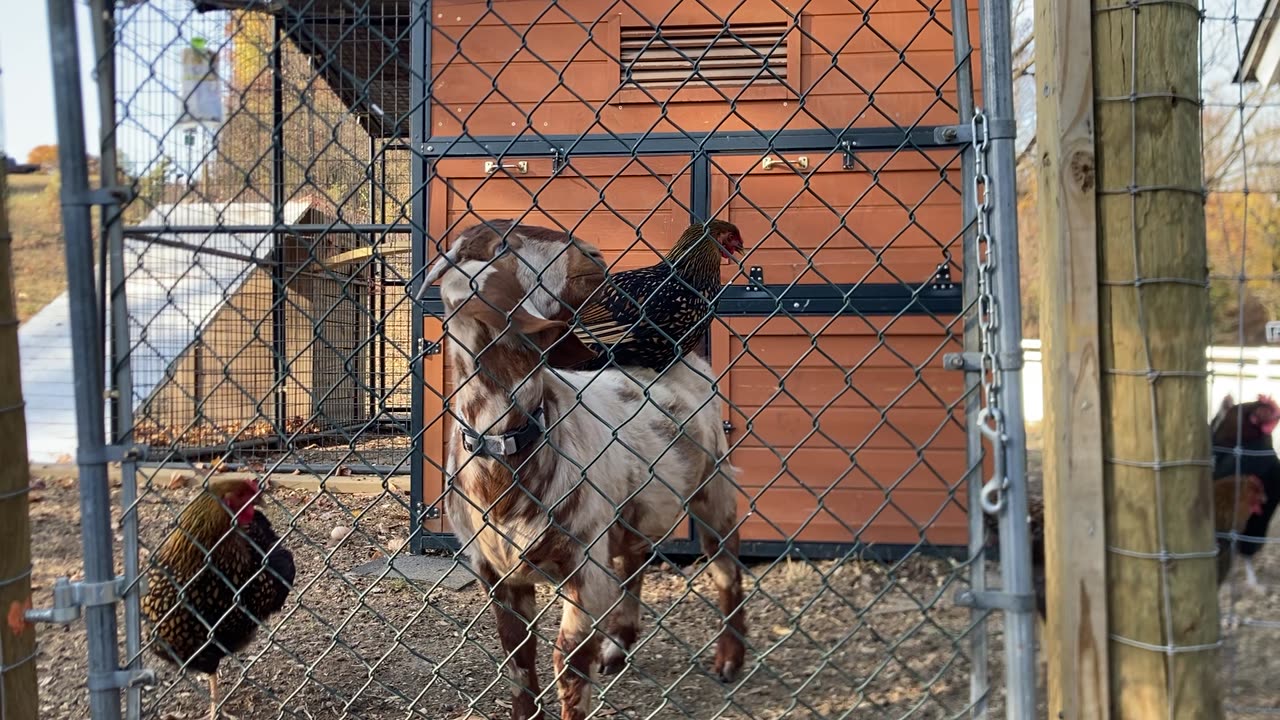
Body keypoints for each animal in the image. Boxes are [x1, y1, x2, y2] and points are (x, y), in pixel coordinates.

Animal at [419, 220, 747, 717]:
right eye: (504, 244)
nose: (594, 253)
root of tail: (687, 357)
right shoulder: (494, 573)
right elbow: (518, 660)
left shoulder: (584, 564)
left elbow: (569, 664)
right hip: (636, 508)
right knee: (635, 562)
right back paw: (618, 647)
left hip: (714, 487)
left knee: (727, 568)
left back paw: (730, 657)